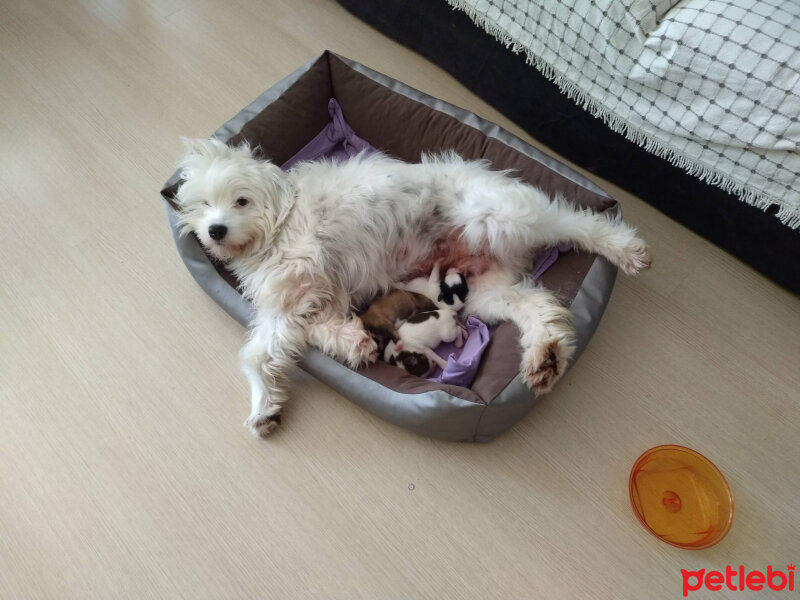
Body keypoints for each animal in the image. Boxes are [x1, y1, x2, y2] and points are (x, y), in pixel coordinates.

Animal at [177, 138, 648, 436]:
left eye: (241, 201)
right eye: (202, 204)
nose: (215, 230)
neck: (278, 222)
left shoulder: (307, 279)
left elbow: (259, 353)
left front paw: (263, 404)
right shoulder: (298, 298)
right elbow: (296, 336)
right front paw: (350, 344)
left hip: (504, 217)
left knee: (572, 220)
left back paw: (622, 246)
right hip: (486, 291)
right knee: (536, 307)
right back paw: (545, 356)